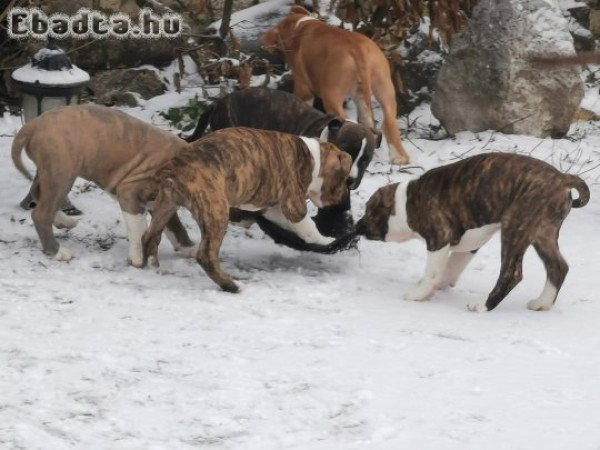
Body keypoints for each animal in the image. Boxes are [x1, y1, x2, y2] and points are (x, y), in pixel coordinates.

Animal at [11, 103, 195, 266]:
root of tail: (33, 124)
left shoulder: (161, 204)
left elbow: (175, 226)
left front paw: (188, 248)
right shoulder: (129, 192)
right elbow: (139, 227)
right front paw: (138, 256)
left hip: (49, 174)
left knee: (37, 194)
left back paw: (64, 221)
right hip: (61, 175)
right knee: (41, 213)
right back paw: (57, 251)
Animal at [140, 128, 352, 294]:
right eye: (343, 179)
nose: (343, 197)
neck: (314, 158)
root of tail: (175, 168)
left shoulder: (273, 208)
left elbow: (299, 227)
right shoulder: (293, 206)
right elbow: (308, 225)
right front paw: (326, 240)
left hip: (166, 205)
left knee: (150, 237)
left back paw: (153, 268)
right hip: (216, 211)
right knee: (206, 256)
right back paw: (233, 286)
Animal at [260, 5, 410, 165]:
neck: (298, 27)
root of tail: (356, 50)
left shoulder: (303, 88)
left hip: (331, 96)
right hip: (383, 88)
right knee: (387, 123)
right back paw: (399, 157)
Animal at [356, 153, 592, 312]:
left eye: (369, 211)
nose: (358, 225)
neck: (405, 202)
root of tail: (562, 178)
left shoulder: (438, 239)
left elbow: (432, 272)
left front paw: (418, 294)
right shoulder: (469, 245)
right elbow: (450, 267)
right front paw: (438, 286)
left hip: (515, 227)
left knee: (512, 273)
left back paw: (483, 305)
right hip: (543, 233)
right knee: (558, 267)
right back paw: (542, 303)